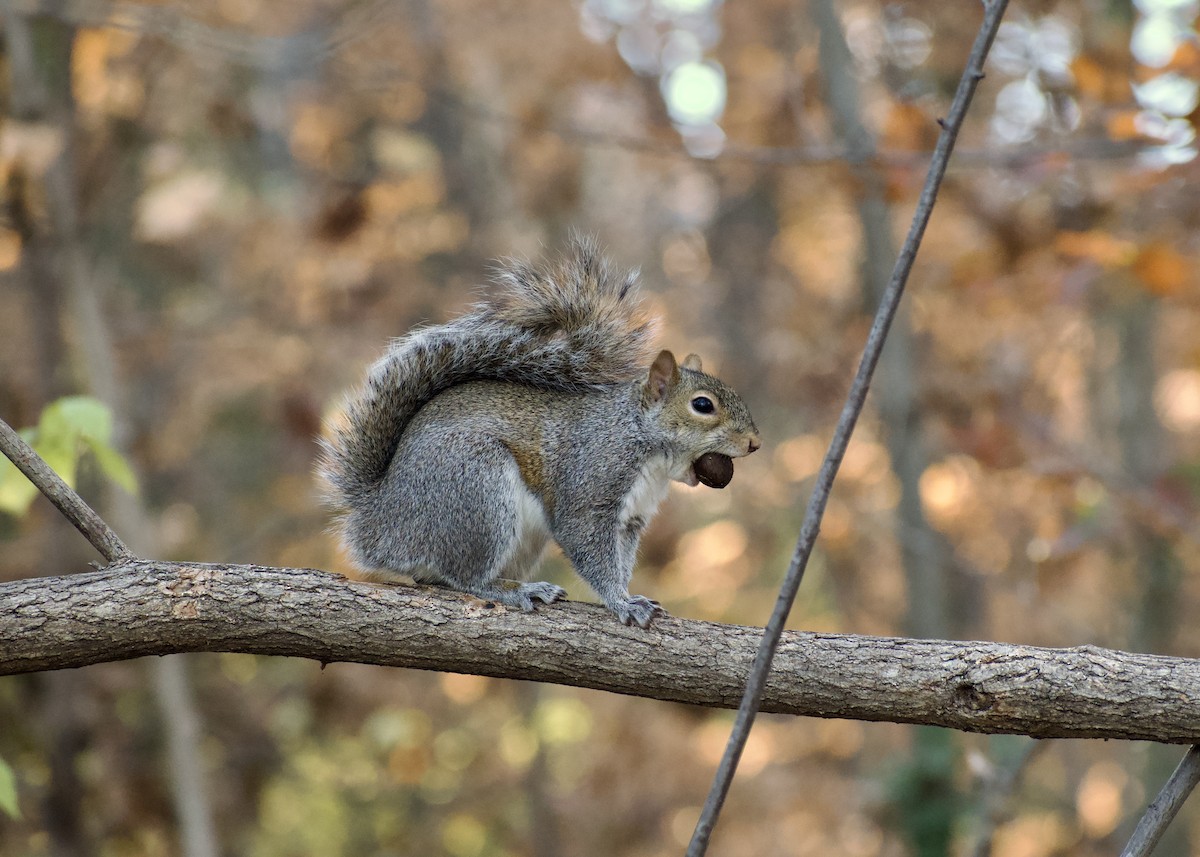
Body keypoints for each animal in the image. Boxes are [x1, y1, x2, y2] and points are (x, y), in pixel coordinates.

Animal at [320, 238, 760, 628]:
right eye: (702, 405)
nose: (754, 442)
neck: (640, 441)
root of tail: (380, 521)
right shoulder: (591, 485)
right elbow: (587, 546)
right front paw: (620, 602)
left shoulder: (631, 519)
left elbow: (620, 560)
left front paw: (628, 593)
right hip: (477, 489)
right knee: (464, 578)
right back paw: (514, 590)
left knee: (434, 577)